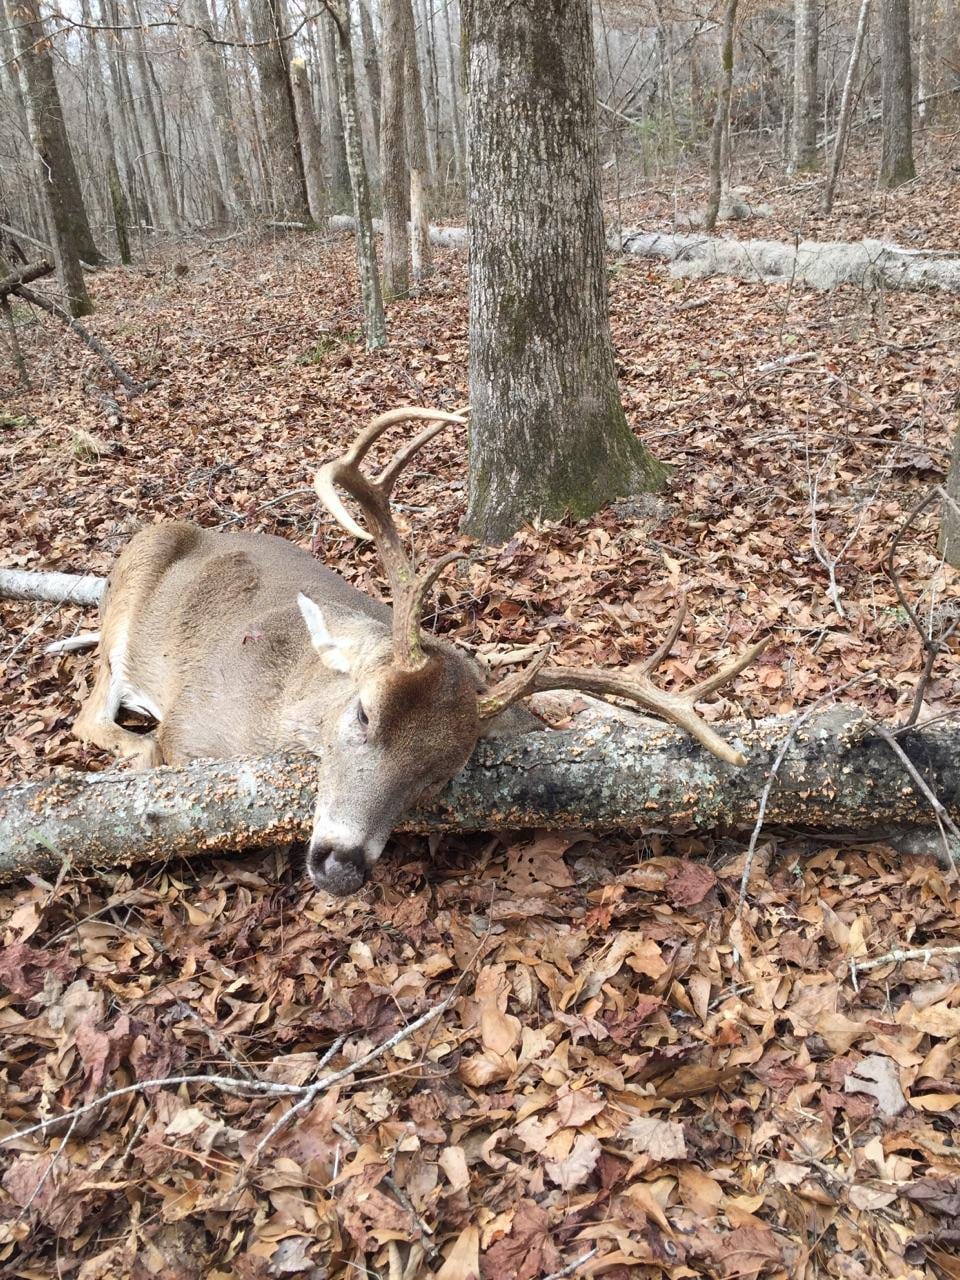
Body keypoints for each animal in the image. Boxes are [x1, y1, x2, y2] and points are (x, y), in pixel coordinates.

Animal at [73, 407, 765, 896]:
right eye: (362, 712)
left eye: (438, 775)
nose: (342, 865)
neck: (274, 711)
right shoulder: (185, 730)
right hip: (125, 596)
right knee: (91, 712)